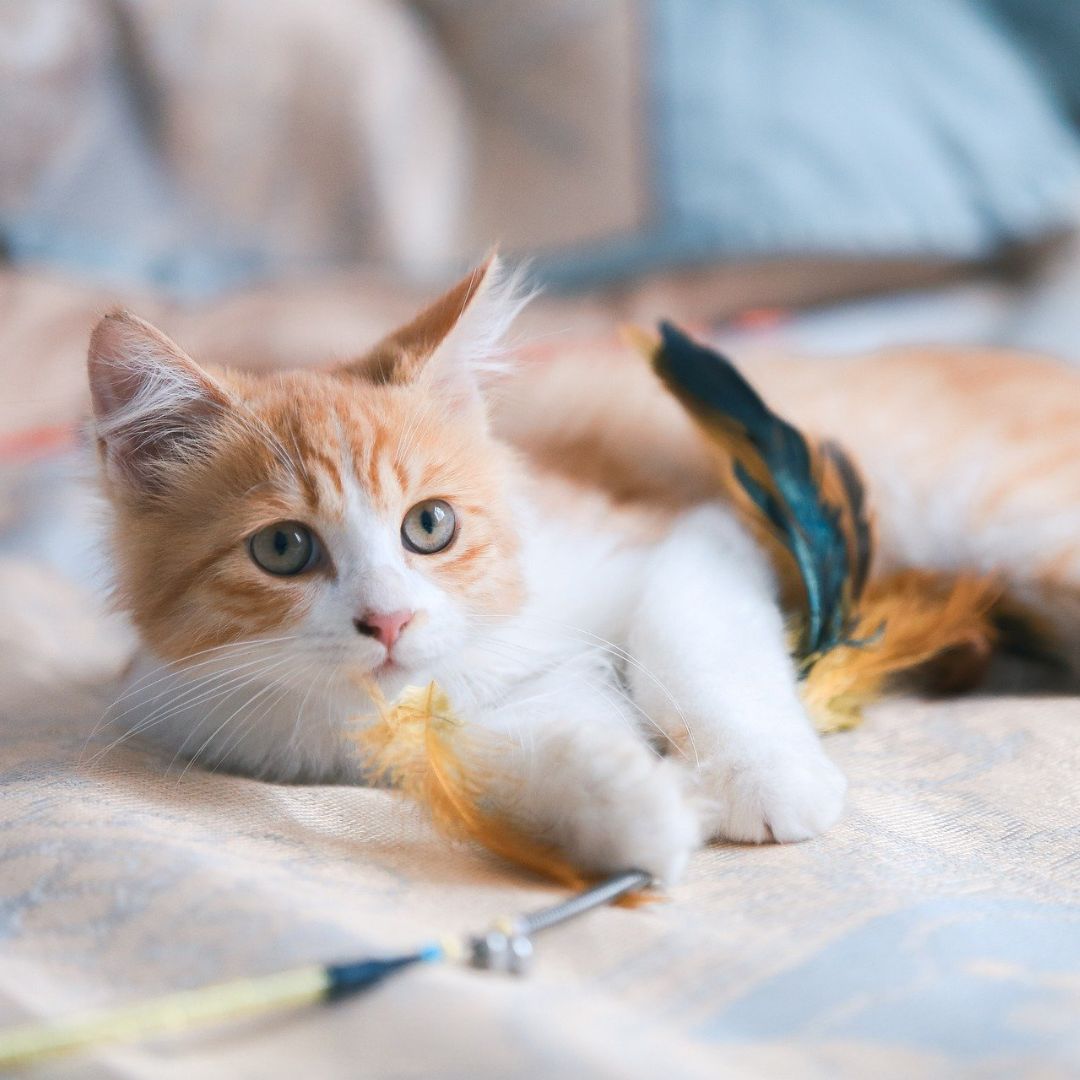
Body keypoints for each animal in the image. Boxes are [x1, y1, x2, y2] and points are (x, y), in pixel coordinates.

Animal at [92, 254, 846, 885]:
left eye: (430, 525)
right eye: (282, 548)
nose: (390, 620)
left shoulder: (691, 534)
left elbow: (700, 640)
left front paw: (762, 773)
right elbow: (506, 752)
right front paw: (632, 811)